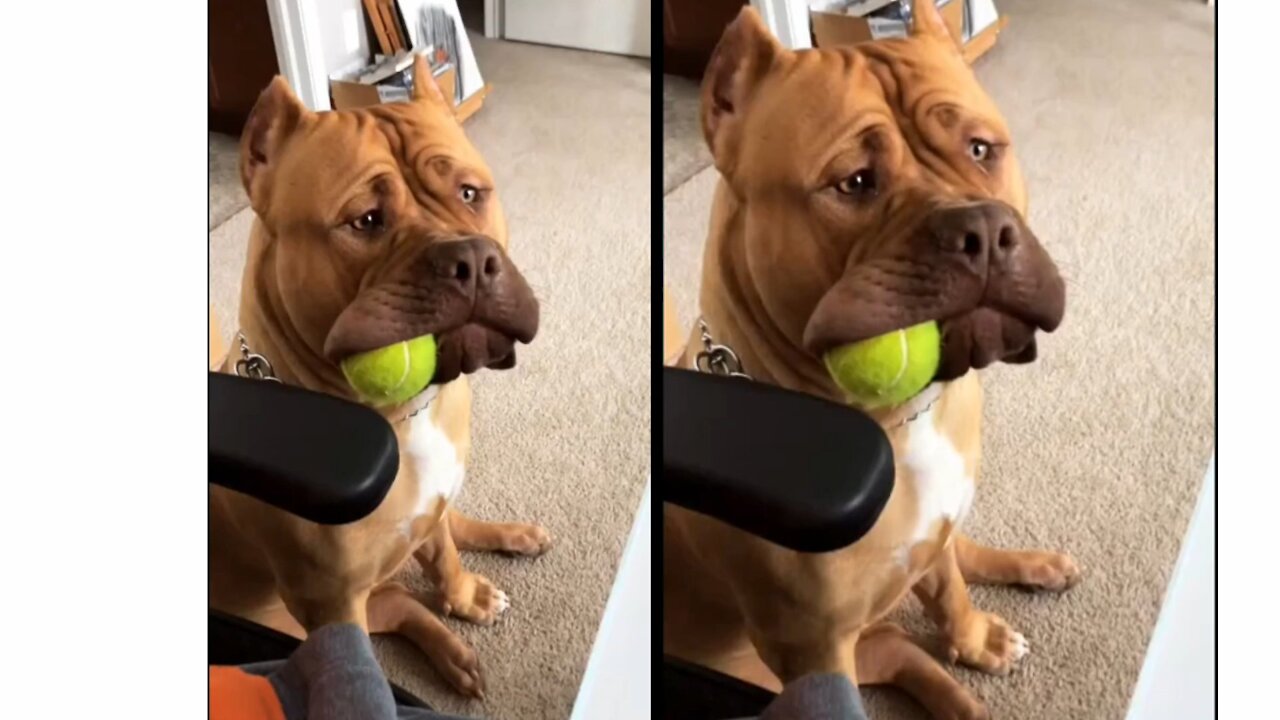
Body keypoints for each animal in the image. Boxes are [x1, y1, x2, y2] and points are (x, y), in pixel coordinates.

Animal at [209, 58, 550, 696]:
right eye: (365, 221)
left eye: (470, 193)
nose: (470, 259)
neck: (404, 418)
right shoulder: (332, 604)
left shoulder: (431, 506)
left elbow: (443, 555)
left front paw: (464, 593)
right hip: (325, 612)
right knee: (402, 608)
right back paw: (453, 653)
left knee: (446, 532)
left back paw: (508, 539)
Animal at [670, 7, 1080, 717]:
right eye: (855, 182)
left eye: (981, 149)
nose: (980, 229)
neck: (899, 422)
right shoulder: (814, 650)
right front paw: (970, 648)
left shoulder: (934, 531)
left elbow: (949, 589)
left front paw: (973, 636)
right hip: (810, 663)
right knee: (907, 656)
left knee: (954, 559)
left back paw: (1029, 572)